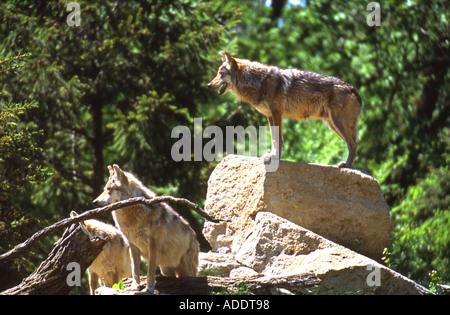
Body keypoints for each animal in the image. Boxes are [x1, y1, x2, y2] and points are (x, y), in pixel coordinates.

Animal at [92, 165, 199, 294]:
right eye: (104, 189)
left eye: (109, 189)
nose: (94, 202)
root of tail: (194, 236)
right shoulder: (133, 246)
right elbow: (135, 271)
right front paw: (134, 287)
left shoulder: (152, 246)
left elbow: (150, 272)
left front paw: (149, 288)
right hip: (166, 270)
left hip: (187, 269)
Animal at [208, 53, 362, 169]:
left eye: (221, 73)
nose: (208, 85)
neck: (258, 81)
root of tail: (353, 88)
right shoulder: (270, 116)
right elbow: (274, 139)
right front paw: (272, 155)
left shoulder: (277, 114)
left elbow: (278, 139)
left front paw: (276, 158)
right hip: (333, 125)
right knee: (353, 144)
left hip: (338, 123)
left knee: (353, 144)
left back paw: (347, 166)